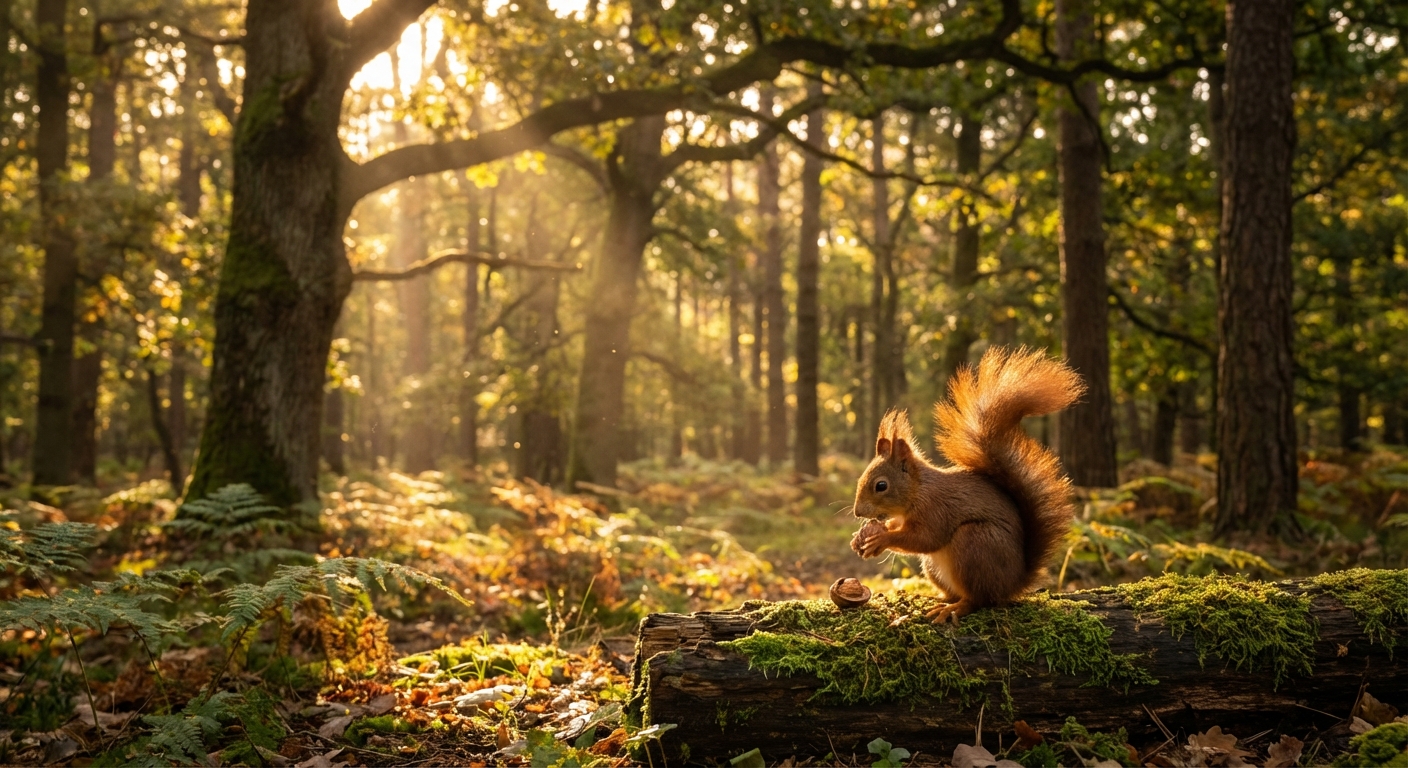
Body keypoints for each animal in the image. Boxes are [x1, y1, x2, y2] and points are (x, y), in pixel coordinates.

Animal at [849, 346, 1084, 624]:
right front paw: (863, 536)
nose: (858, 512)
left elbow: (925, 539)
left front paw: (881, 538)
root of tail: (1014, 582)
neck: (918, 491)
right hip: (935, 567)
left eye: (881, 485)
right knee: (958, 593)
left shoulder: (936, 509)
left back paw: (954, 608)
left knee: (980, 599)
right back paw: (936, 598)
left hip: (974, 544)